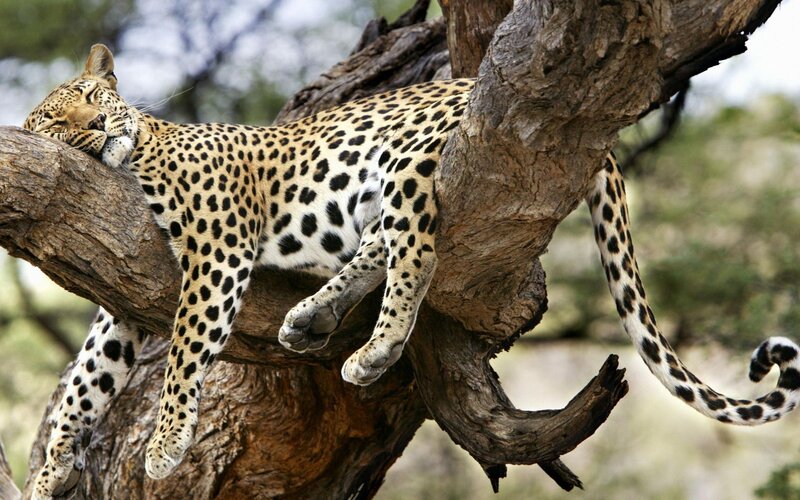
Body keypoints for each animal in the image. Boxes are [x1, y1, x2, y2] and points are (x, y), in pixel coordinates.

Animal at [22, 44, 800, 499]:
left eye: (92, 100)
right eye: (56, 123)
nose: (98, 129)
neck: (138, 153)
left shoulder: (217, 251)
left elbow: (185, 353)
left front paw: (163, 446)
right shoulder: (123, 299)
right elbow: (87, 379)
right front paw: (51, 467)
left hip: (406, 159)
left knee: (417, 250)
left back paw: (374, 350)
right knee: (381, 246)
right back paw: (313, 318)